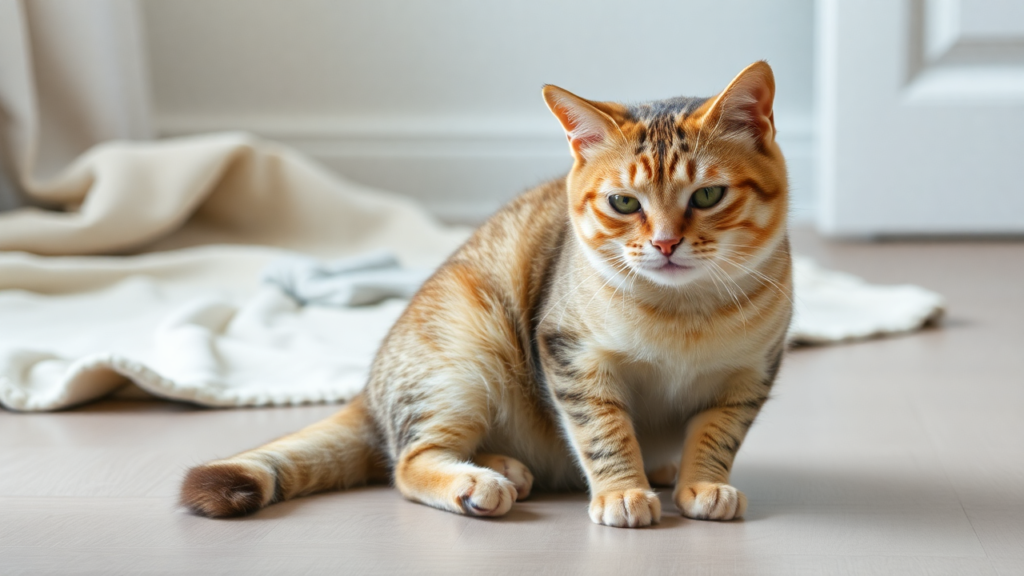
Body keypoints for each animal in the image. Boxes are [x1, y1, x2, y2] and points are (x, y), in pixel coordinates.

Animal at [182, 61, 790, 524]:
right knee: (408, 461)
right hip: (464, 355)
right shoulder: (570, 355)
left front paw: (702, 481)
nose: (665, 244)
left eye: (707, 195)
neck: (685, 314)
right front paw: (622, 490)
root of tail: (368, 391)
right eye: (623, 203)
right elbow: (603, 431)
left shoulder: (750, 374)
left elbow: (717, 435)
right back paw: (481, 481)